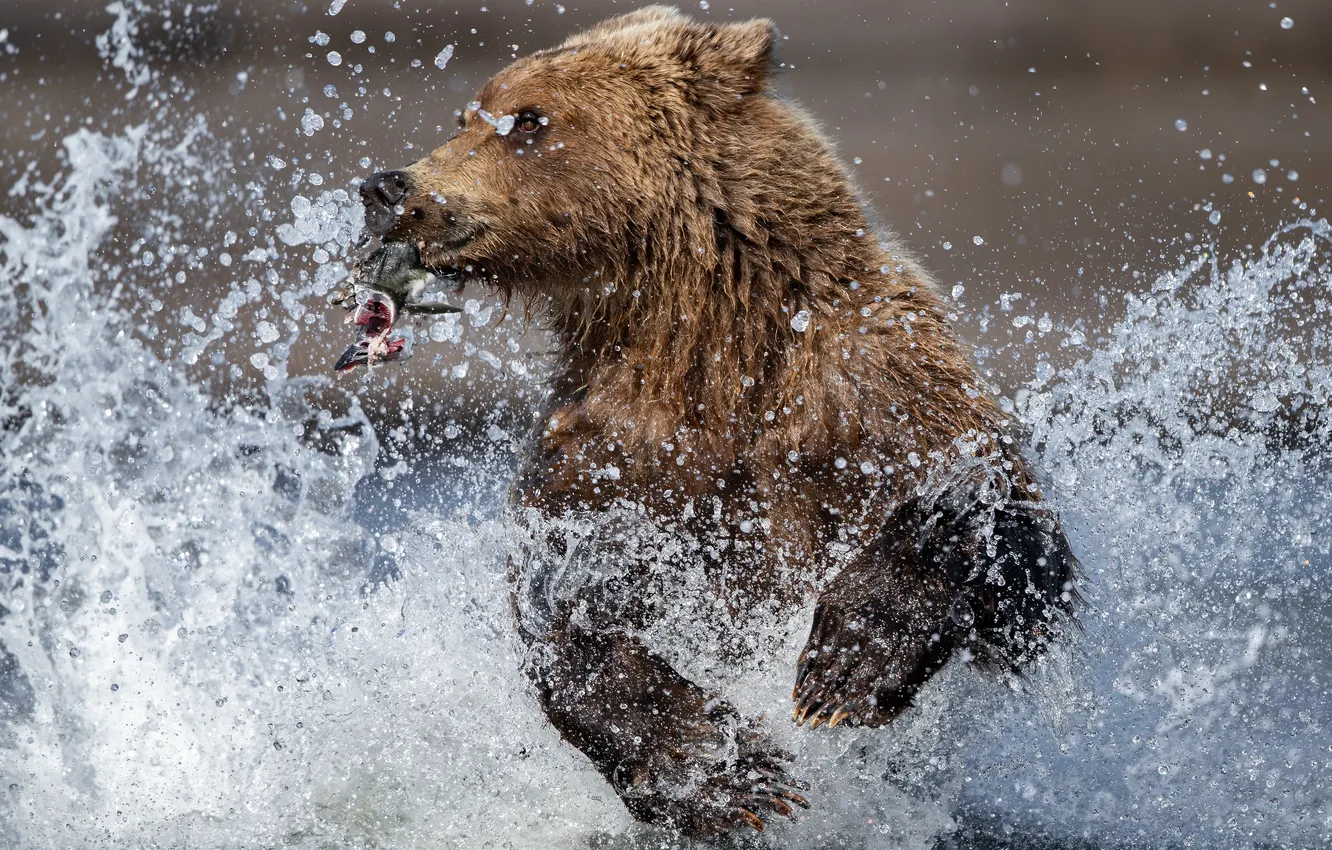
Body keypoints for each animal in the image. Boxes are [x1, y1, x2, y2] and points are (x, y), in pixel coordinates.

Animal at [352, 6, 1078, 838]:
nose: (385, 185)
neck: (704, 334)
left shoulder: (871, 385)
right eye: (468, 116)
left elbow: (995, 521)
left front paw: (843, 668)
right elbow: (559, 609)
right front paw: (729, 774)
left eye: (529, 119)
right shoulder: (613, 445)